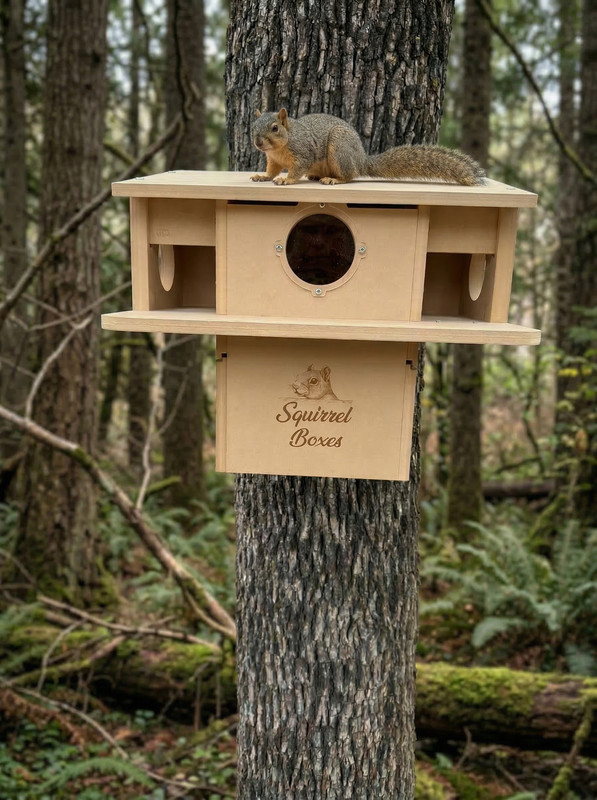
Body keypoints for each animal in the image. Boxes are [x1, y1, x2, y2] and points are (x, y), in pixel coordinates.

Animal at [251, 109, 485, 187]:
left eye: (275, 128)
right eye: (252, 126)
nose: (258, 142)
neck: (279, 149)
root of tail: (362, 158)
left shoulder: (303, 152)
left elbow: (297, 168)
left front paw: (286, 179)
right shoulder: (273, 159)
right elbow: (271, 170)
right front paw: (263, 176)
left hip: (340, 148)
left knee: (350, 174)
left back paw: (334, 179)